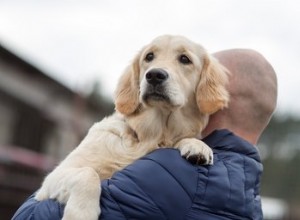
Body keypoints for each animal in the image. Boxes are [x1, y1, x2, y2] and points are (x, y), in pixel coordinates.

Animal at [34, 34, 229, 220]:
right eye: (149, 56)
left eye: (184, 59)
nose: (154, 75)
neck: (151, 134)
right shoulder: (53, 178)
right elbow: (87, 173)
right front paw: (81, 214)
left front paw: (197, 145)